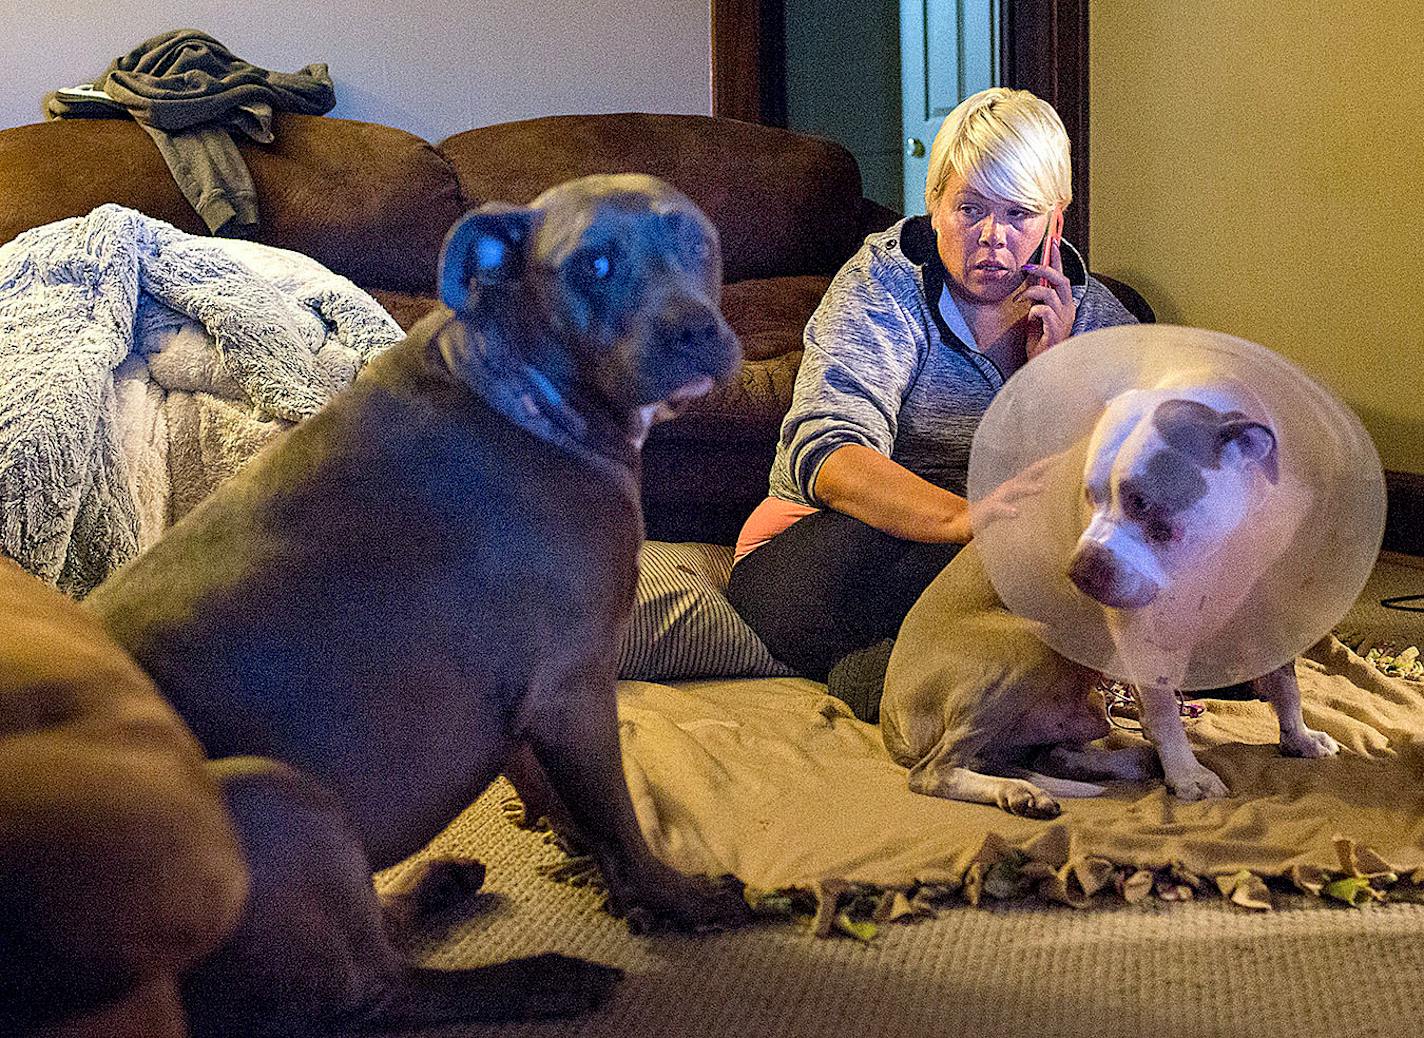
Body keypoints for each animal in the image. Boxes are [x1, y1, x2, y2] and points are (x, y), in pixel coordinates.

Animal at [81, 174, 746, 1030]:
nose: (695, 332)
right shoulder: (575, 687)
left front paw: (591, 861)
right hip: (273, 799)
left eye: (697, 240)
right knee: (377, 995)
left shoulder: (528, 702)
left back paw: (437, 887)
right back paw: (541, 979)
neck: (520, 388)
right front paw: (678, 899)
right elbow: (621, 822)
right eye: (592, 266)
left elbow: (555, 791)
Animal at [882, 373, 1338, 820]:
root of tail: (889, 712)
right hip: (1028, 642)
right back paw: (1021, 791)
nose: (1078, 572)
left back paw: (1120, 764)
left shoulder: (1266, 607)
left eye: (1141, 501)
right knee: (936, 770)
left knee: (1046, 753)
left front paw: (1300, 738)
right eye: (1090, 495)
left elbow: (1287, 686)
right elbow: (1163, 710)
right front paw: (1188, 775)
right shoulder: (1141, 627)